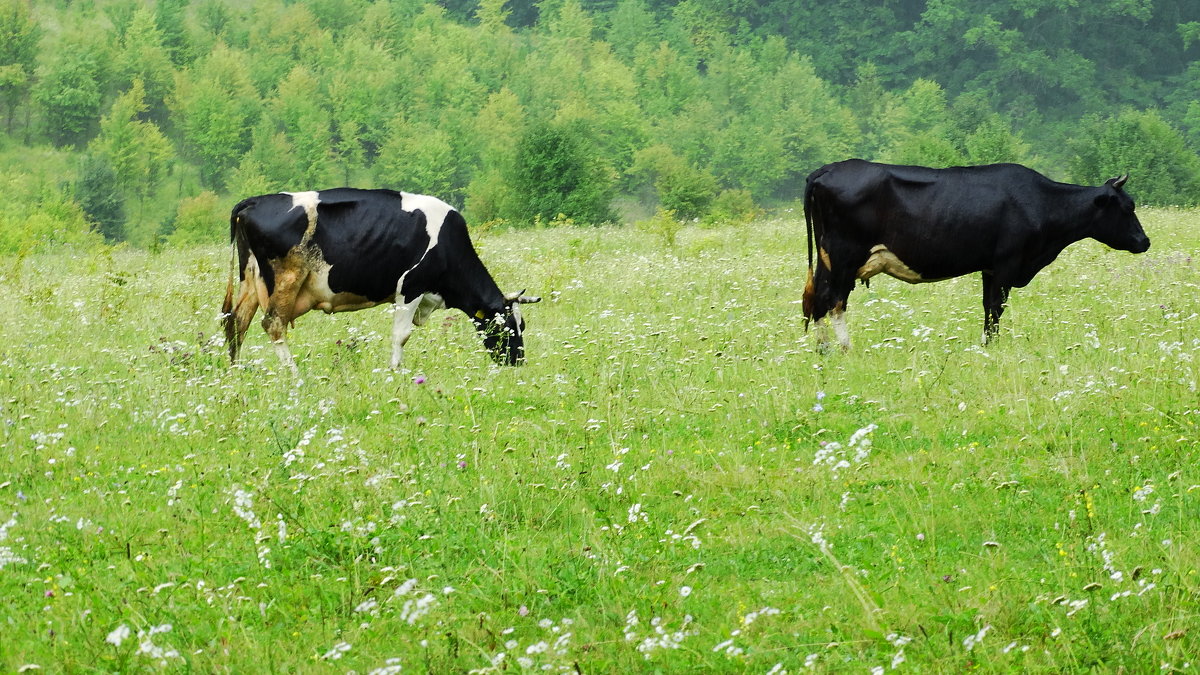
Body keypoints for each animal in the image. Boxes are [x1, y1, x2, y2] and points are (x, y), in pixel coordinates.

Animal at [223, 186, 542, 369]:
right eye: (506, 327)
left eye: (523, 324)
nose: (518, 362)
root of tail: (253, 202)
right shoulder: (410, 287)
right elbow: (401, 335)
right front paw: (396, 371)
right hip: (286, 279)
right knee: (273, 324)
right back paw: (292, 373)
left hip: (249, 278)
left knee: (236, 322)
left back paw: (236, 371)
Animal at [801, 157, 1147, 345]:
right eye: (1128, 207)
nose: (1145, 241)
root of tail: (827, 170)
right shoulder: (1008, 263)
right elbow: (996, 308)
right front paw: (992, 345)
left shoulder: (990, 267)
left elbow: (986, 307)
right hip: (844, 256)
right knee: (833, 302)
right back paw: (844, 349)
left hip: (827, 259)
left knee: (817, 301)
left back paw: (823, 351)